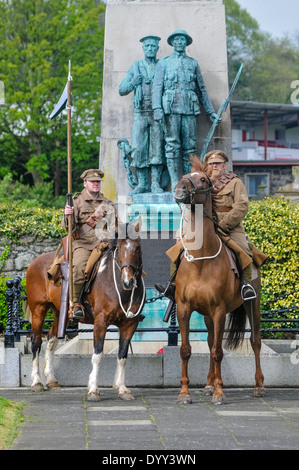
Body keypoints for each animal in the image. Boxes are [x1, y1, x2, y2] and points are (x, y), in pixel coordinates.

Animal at [25, 220, 145, 400]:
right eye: (120, 247)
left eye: (137, 247)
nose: (128, 281)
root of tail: (35, 262)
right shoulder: (100, 322)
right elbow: (97, 355)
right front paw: (93, 389)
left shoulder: (129, 324)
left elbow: (122, 355)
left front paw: (122, 388)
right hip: (38, 310)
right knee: (36, 342)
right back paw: (36, 382)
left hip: (60, 312)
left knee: (52, 339)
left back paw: (51, 379)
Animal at [172, 161, 266, 404]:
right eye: (187, 174)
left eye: (203, 179)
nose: (179, 188)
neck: (201, 260)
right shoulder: (184, 308)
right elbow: (186, 349)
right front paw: (184, 392)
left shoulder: (219, 310)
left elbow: (218, 352)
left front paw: (219, 392)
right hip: (206, 315)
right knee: (210, 340)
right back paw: (208, 383)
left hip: (252, 304)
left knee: (255, 341)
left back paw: (258, 385)